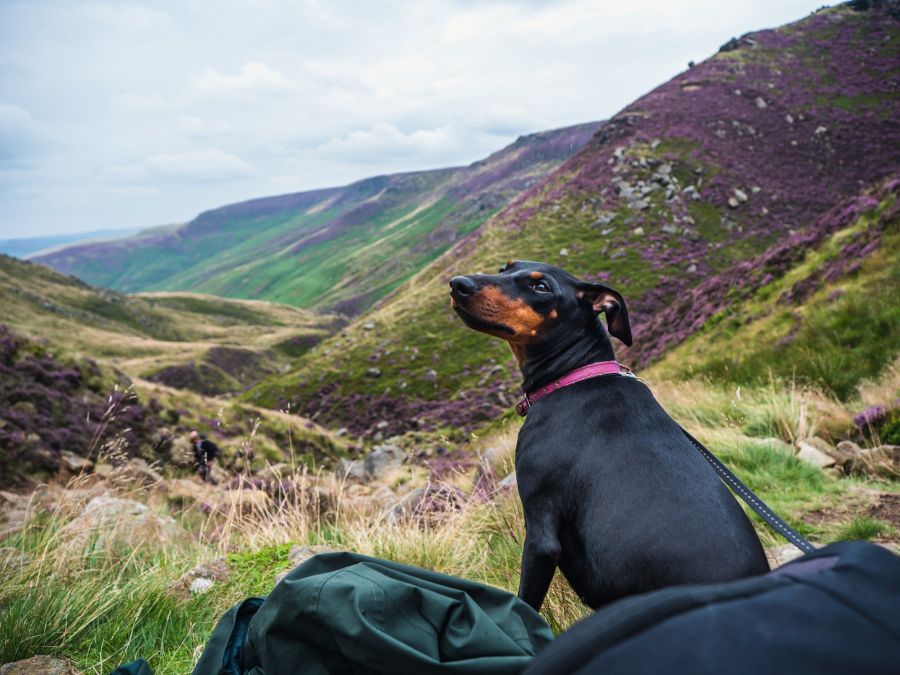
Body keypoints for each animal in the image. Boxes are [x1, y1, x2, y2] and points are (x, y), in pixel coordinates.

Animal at [450, 260, 768, 612]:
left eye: (541, 287)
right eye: (504, 268)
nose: (458, 284)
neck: (574, 375)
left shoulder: (540, 529)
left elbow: (526, 604)